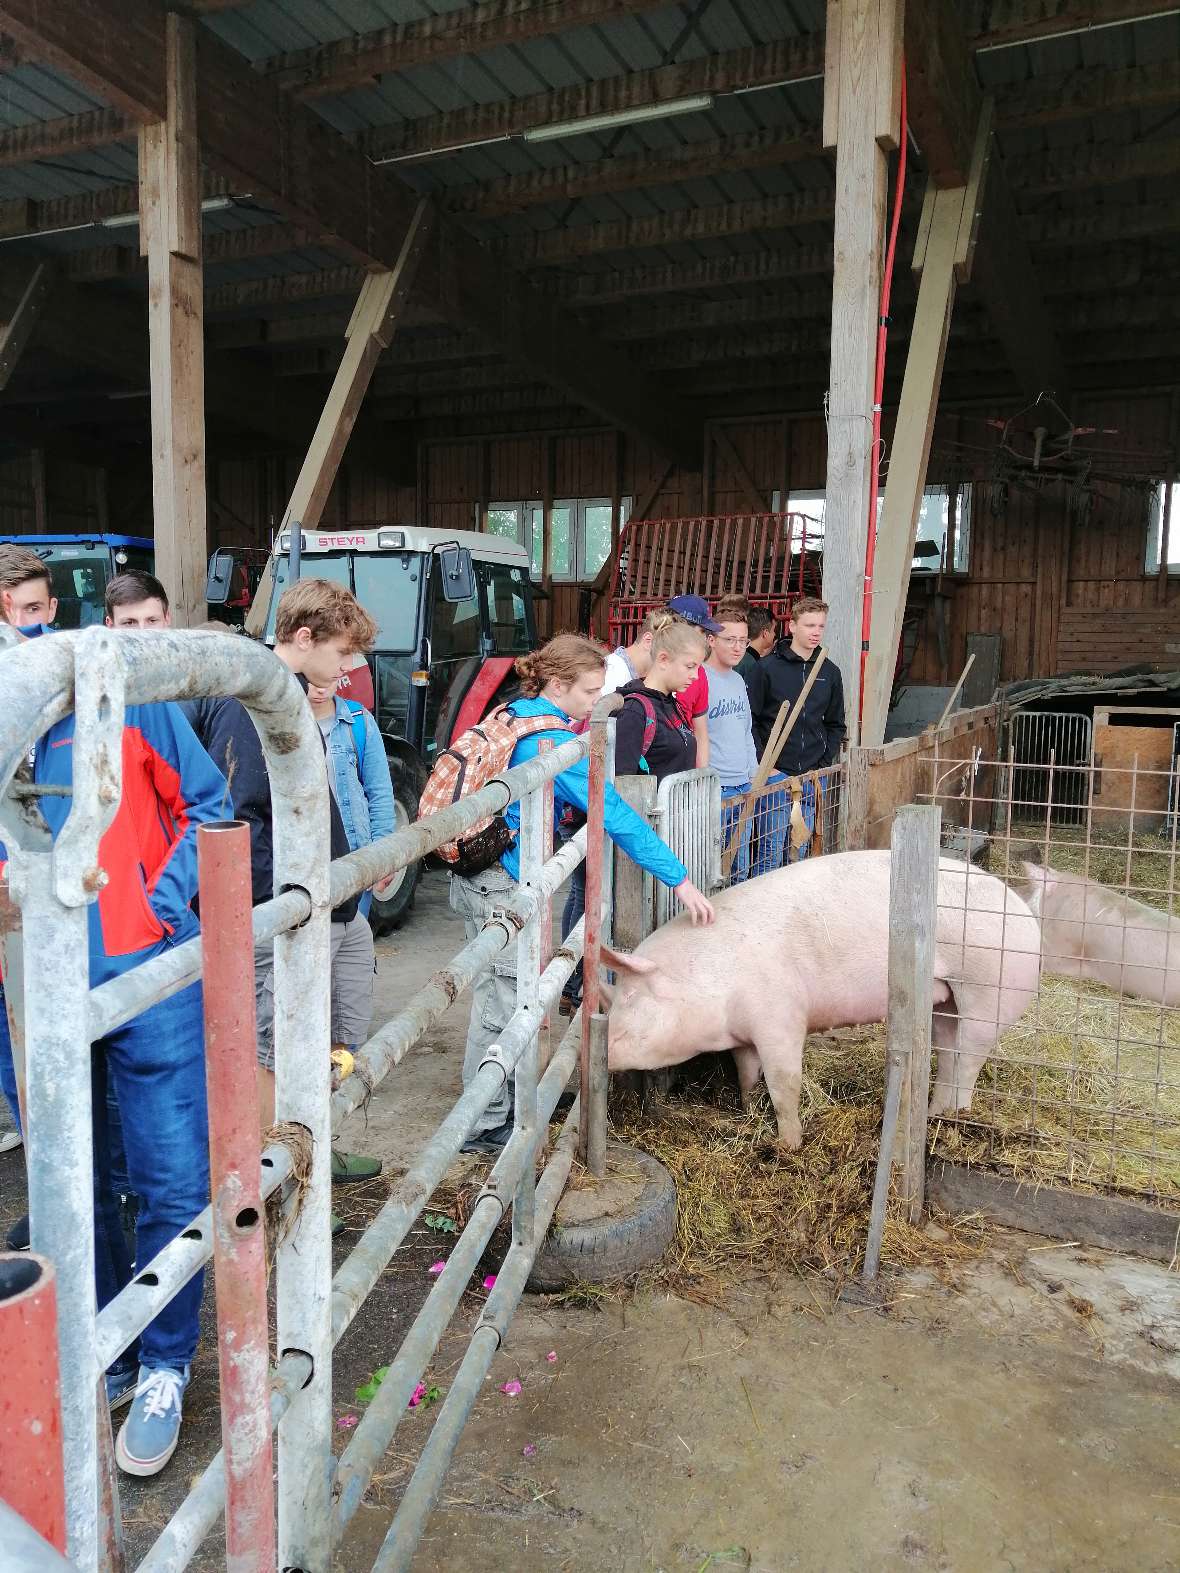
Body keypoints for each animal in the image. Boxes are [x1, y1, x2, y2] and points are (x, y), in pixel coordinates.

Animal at [604, 849, 1038, 1145]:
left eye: (630, 1000)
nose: (600, 1050)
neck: (709, 978)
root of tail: (1024, 913)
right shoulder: (743, 1032)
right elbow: (747, 1073)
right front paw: (747, 1110)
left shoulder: (780, 1018)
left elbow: (784, 1083)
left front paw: (788, 1145)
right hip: (946, 999)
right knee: (948, 1051)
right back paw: (934, 1114)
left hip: (991, 990)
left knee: (968, 1060)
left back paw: (955, 1120)